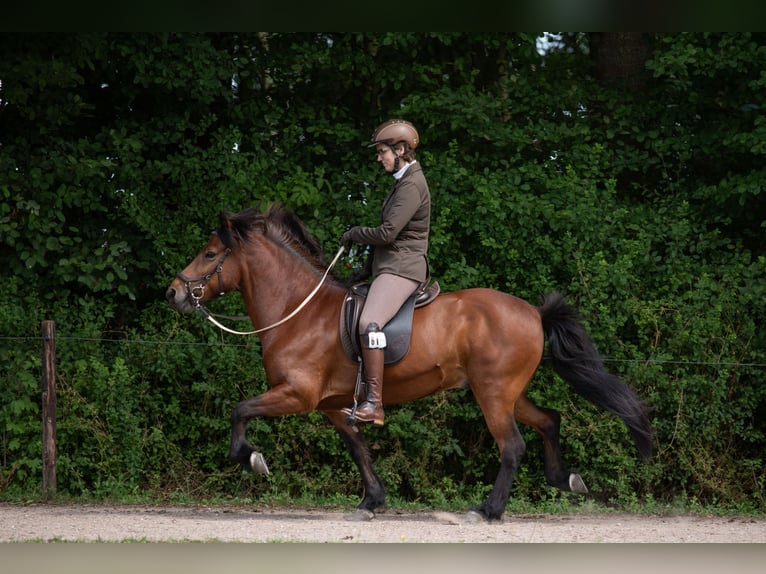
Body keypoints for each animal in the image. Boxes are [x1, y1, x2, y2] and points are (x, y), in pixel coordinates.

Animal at [165, 203, 653, 522]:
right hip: (509, 392)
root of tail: (534, 312)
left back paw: (488, 510)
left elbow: (240, 410)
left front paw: (249, 458)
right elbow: (357, 448)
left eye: (210, 254)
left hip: (493, 393)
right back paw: (564, 479)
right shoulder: (330, 404)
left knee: (513, 446)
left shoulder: (297, 394)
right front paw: (372, 501)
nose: (173, 293)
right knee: (549, 420)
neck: (299, 310)